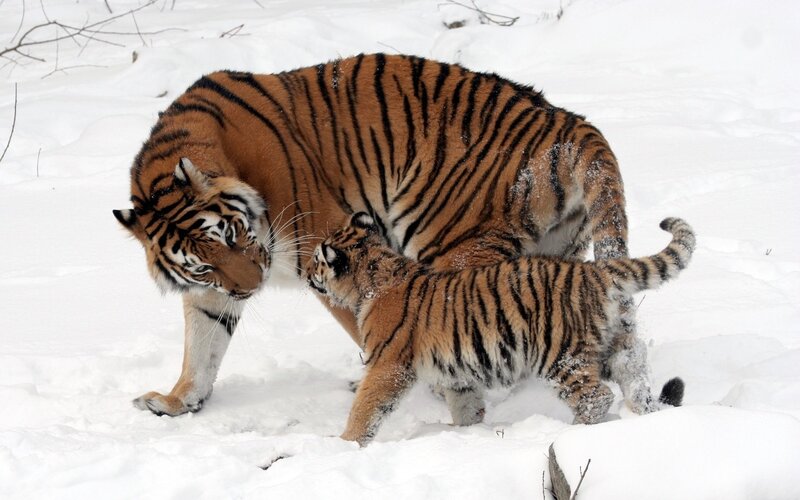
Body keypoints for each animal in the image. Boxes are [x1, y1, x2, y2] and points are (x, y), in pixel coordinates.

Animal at [114, 53, 651, 423]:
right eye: (202, 263)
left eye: (230, 234)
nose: (252, 287)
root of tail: (569, 122)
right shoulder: (213, 290)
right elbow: (202, 344)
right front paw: (176, 401)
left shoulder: (324, 247)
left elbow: (368, 325)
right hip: (555, 254)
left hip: (453, 245)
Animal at [306, 212, 693, 445]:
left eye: (316, 261)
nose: (307, 273)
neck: (374, 276)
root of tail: (594, 271)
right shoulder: (456, 372)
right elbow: (465, 404)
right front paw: (464, 431)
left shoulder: (388, 365)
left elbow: (366, 407)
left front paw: (344, 444)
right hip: (615, 346)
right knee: (635, 377)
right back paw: (645, 418)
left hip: (560, 356)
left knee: (596, 396)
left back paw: (570, 433)